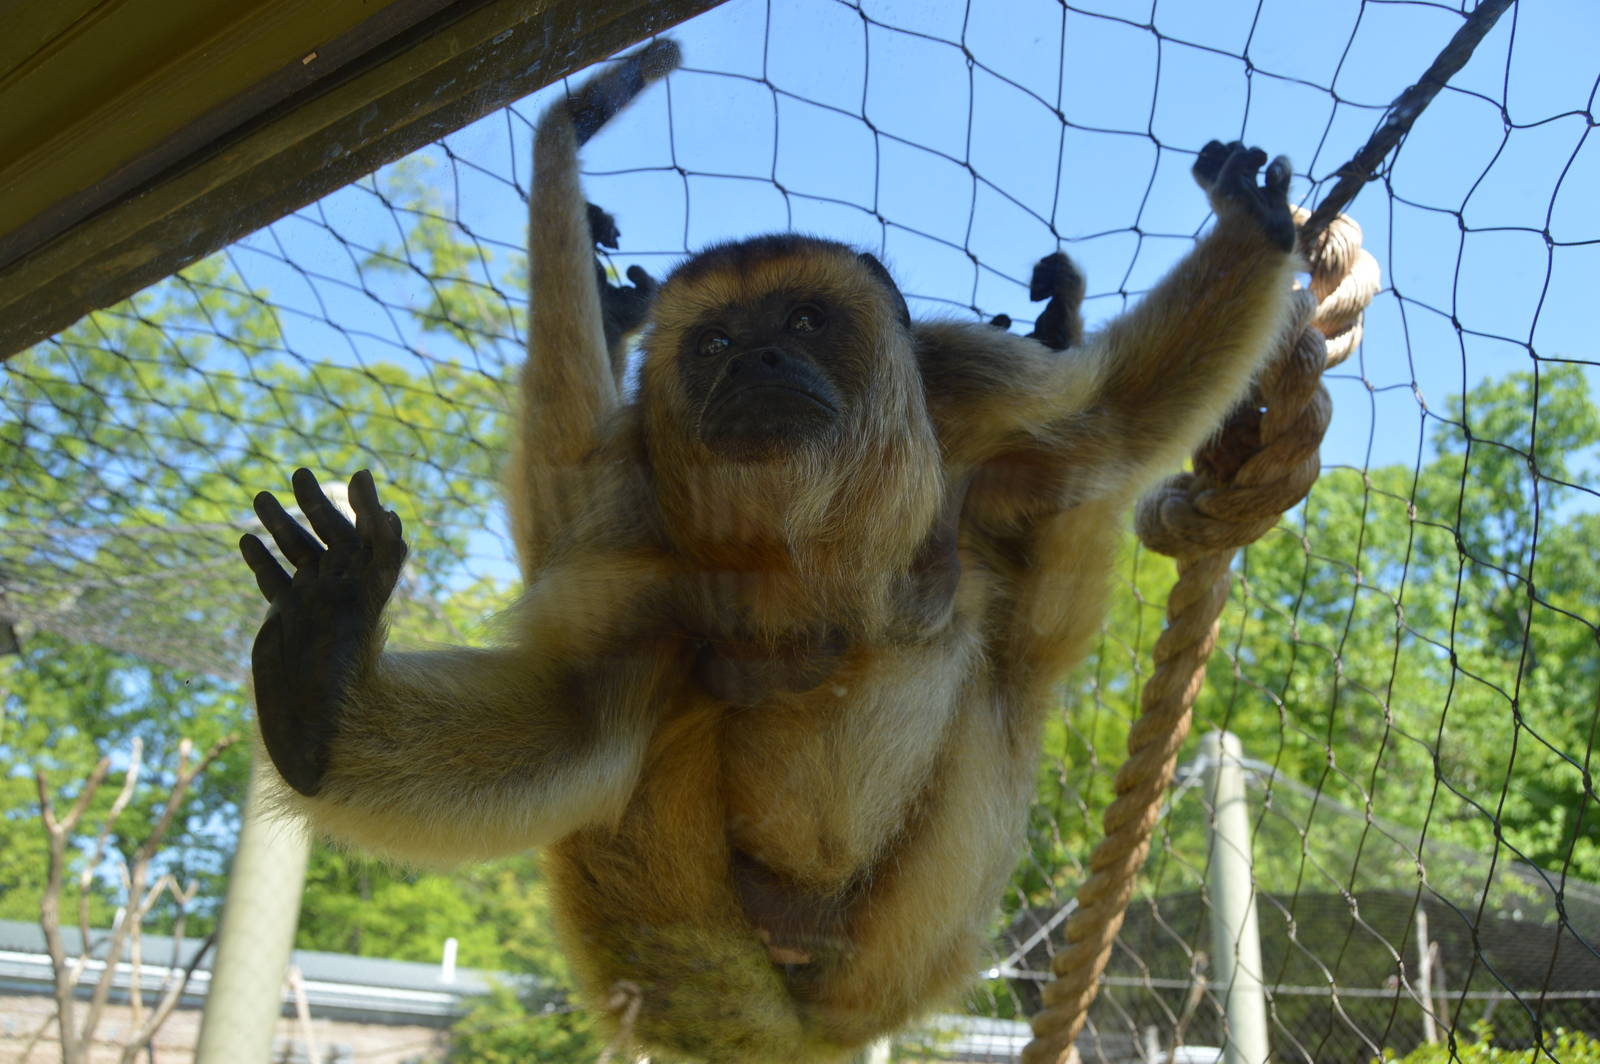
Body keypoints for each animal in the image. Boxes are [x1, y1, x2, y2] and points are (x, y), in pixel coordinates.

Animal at [238, 37, 1300, 1064]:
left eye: (803, 319)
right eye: (713, 344)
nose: (754, 359)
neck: (808, 542)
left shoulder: (971, 392)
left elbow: (1113, 418)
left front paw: (1251, 228)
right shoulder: (628, 540)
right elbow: (577, 717)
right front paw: (320, 680)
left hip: (907, 941)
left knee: (1013, 667)